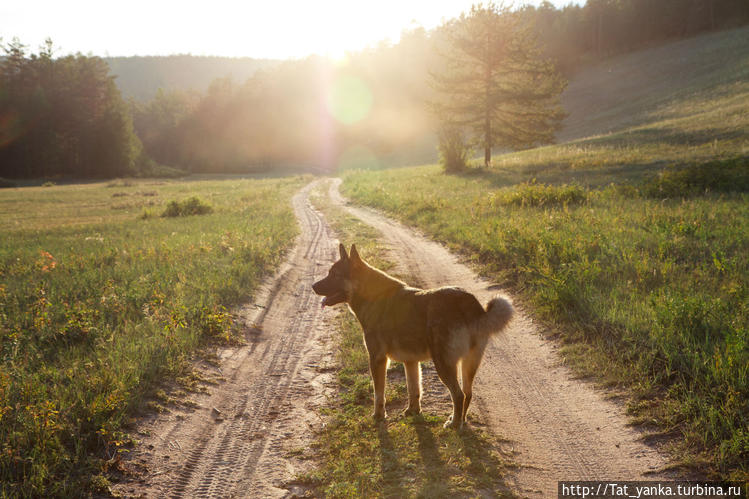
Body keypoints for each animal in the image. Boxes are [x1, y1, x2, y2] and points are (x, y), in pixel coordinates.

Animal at [312, 244, 516, 428]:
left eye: (334, 275)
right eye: (330, 273)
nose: (313, 286)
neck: (370, 293)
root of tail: (469, 303)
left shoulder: (377, 359)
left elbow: (379, 394)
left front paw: (378, 416)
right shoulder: (411, 362)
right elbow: (414, 390)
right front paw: (413, 411)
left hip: (443, 364)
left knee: (458, 395)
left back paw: (454, 423)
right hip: (468, 364)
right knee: (468, 393)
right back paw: (461, 421)